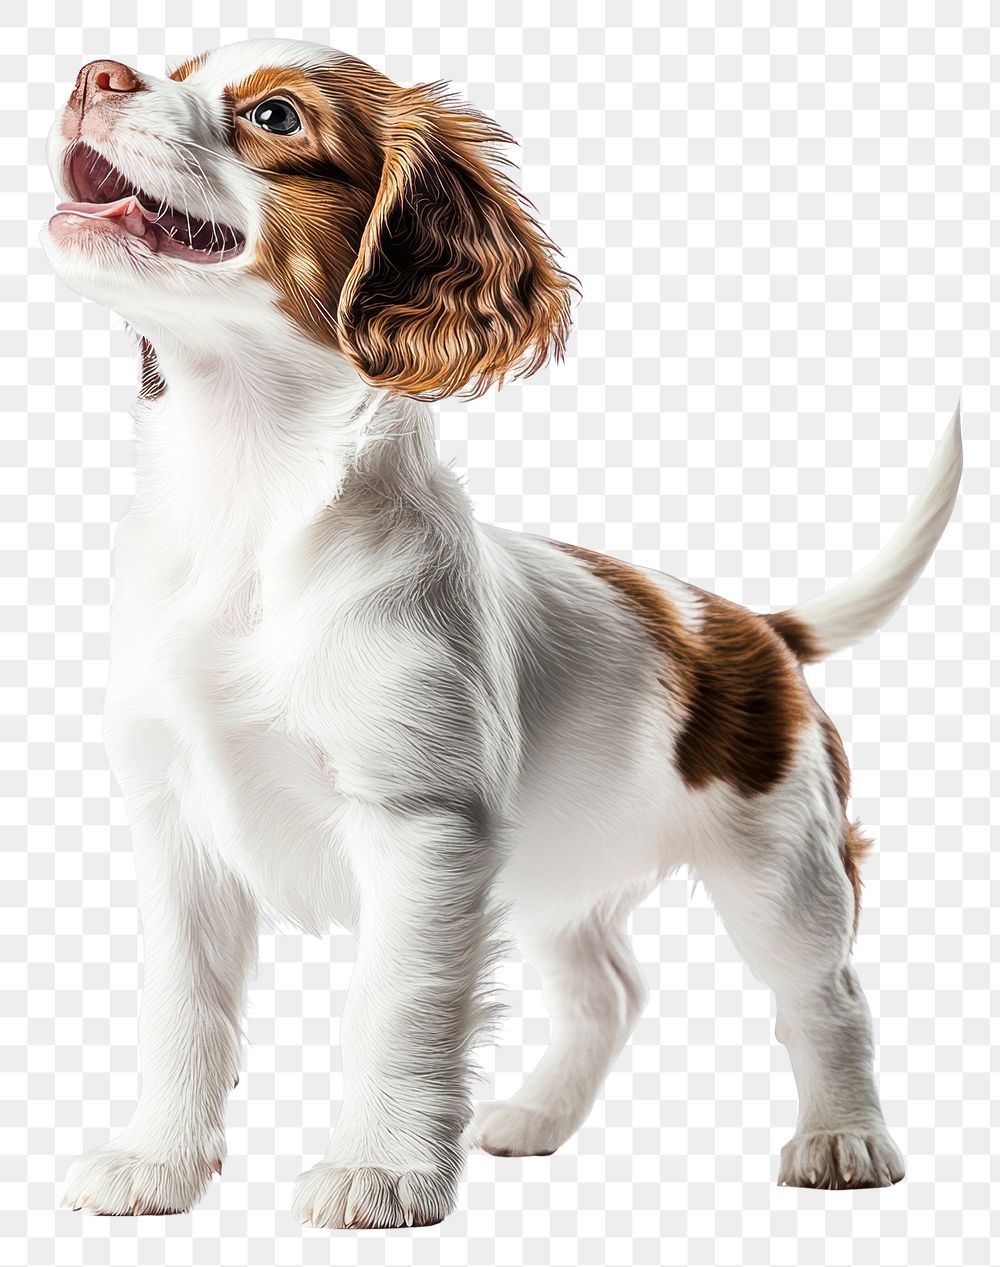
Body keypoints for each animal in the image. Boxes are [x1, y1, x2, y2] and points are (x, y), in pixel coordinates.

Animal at [44, 42, 958, 1226]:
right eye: (173, 66)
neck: (249, 500)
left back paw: (843, 1138)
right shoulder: (179, 826)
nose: (95, 73)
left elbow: (396, 1005)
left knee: (827, 993)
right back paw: (537, 1119)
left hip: (781, 864)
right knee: (610, 987)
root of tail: (754, 627)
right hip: (560, 866)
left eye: (277, 116)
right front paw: (156, 1161)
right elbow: (182, 1008)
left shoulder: (421, 825)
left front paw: (380, 1169)